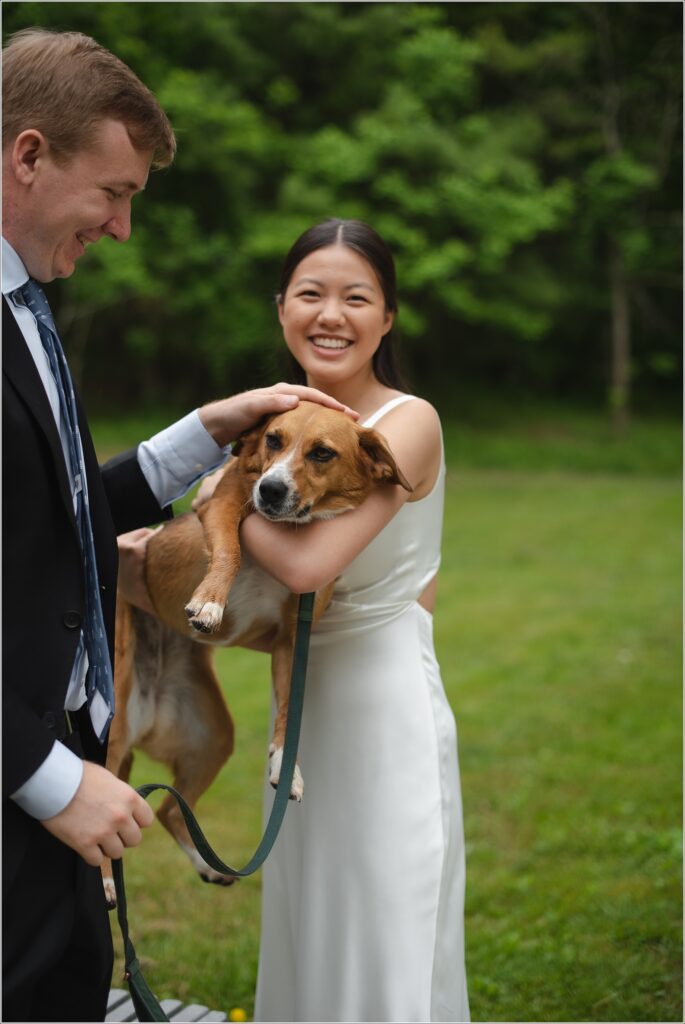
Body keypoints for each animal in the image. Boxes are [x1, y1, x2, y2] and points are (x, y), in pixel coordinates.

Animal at [104, 403, 409, 901]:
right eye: (272, 439)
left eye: (322, 453)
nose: (270, 488)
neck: (292, 528)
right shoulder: (224, 501)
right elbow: (230, 546)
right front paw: (210, 601)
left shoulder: (292, 638)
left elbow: (289, 711)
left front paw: (287, 765)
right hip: (114, 722)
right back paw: (108, 882)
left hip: (212, 736)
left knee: (166, 810)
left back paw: (207, 866)